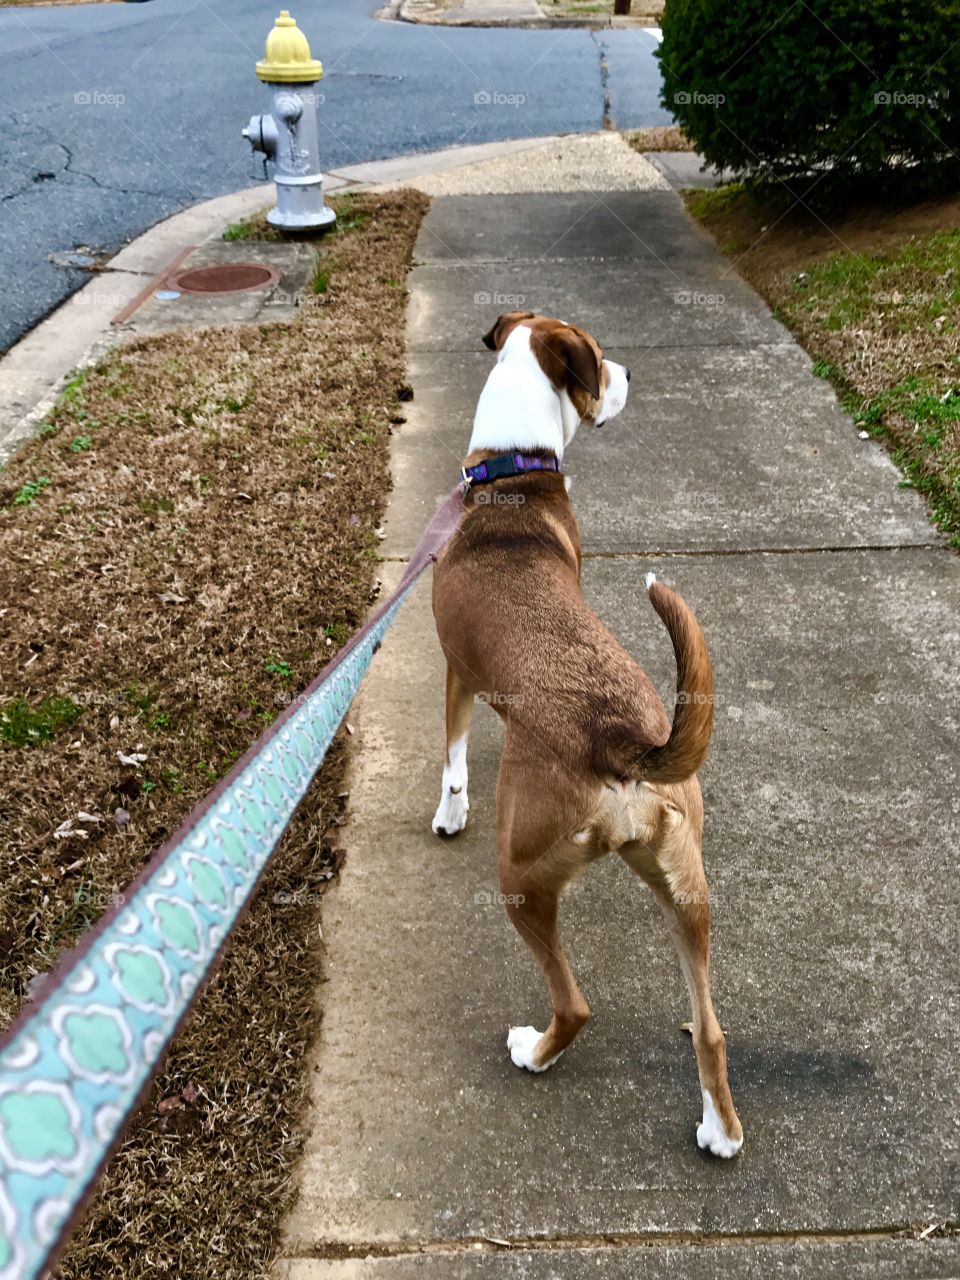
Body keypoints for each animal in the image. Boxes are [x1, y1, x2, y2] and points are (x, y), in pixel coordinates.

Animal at [432, 309, 747, 1162]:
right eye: (603, 363)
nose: (632, 373)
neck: (511, 470)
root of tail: (624, 746)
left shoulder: (456, 671)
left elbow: (451, 758)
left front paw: (449, 812)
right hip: (687, 888)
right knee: (711, 1030)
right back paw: (720, 1130)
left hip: (521, 872)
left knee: (573, 1005)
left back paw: (534, 1052)